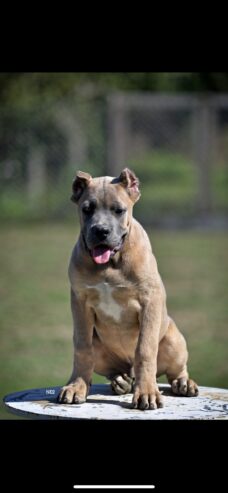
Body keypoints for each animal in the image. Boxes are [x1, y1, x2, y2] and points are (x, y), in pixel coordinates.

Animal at [58, 167, 199, 410]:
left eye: (119, 210)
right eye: (87, 209)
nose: (101, 231)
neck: (110, 264)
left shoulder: (149, 300)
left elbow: (145, 349)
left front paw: (147, 393)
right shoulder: (80, 301)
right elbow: (82, 348)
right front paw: (76, 387)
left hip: (174, 341)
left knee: (176, 370)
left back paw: (183, 384)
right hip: (101, 347)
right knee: (109, 366)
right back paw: (121, 381)